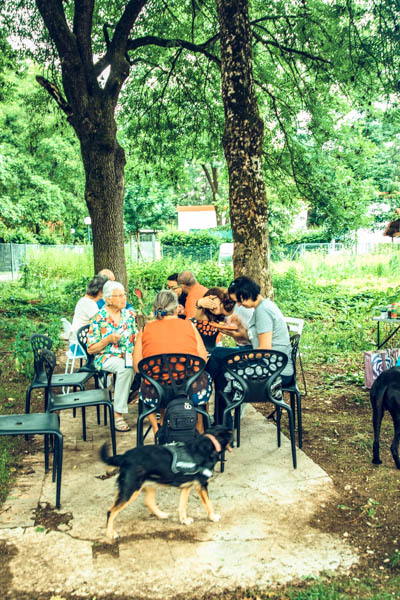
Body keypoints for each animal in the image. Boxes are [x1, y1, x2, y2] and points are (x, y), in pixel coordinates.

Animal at [100, 425, 233, 539]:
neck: (208, 444)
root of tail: (124, 456)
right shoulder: (201, 485)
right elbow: (209, 503)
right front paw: (213, 517)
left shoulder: (186, 487)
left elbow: (182, 505)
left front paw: (184, 520)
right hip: (130, 490)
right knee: (111, 511)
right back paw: (110, 533)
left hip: (148, 484)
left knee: (148, 501)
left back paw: (161, 515)